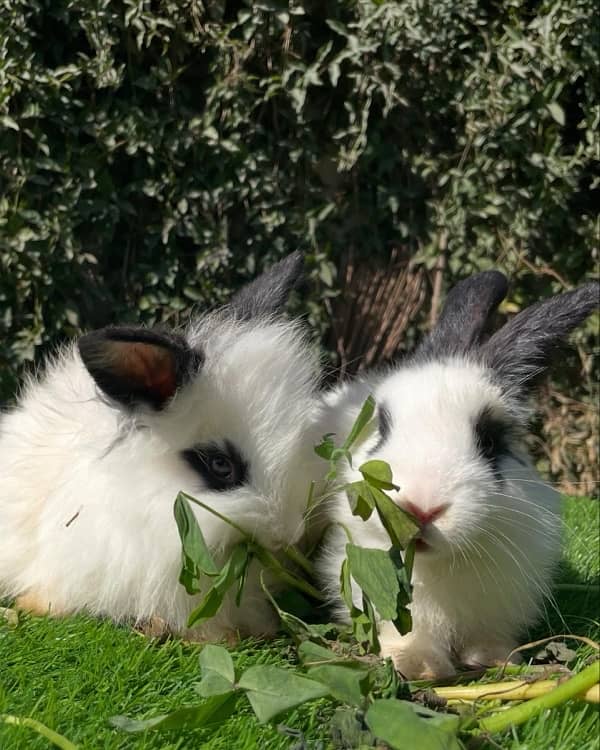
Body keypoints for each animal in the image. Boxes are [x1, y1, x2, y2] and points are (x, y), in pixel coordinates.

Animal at [316, 276, 596, 680]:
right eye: (381, 427)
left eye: (490, 440)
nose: (420, 508)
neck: (443, 565)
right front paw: (417, 666)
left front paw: (494, 658)